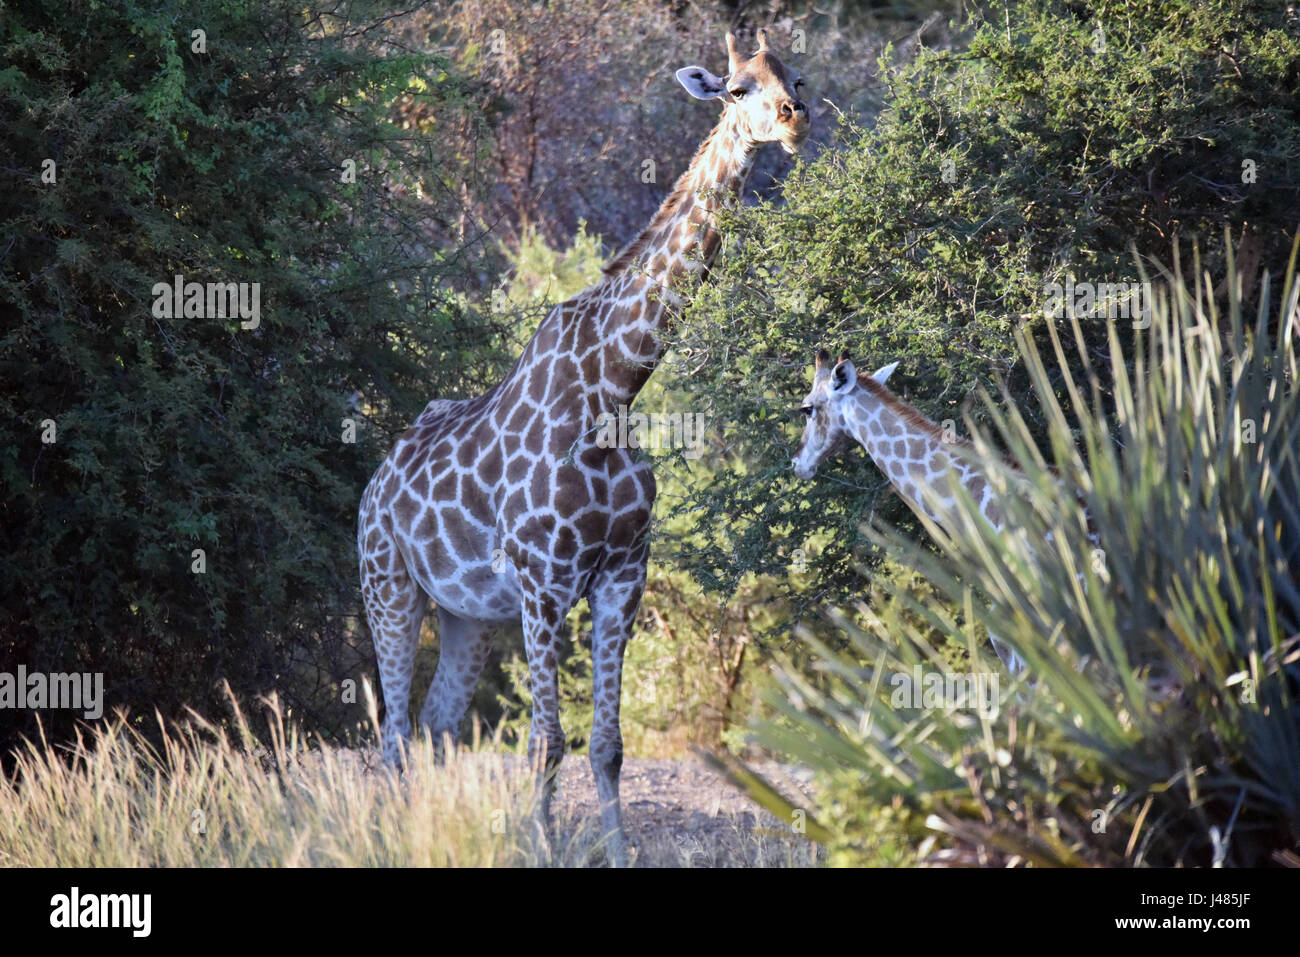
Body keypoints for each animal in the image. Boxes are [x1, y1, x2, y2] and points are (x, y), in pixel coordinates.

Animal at [361, 29, 806, 868]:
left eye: (796, 77)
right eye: (736, 88)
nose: (795, 118)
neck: (616, 385)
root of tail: (372, 484)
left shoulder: (621, 574)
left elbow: (606, 744)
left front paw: (619, 848)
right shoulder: (543, 580)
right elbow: (546, 742)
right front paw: (539, 844)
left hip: (468, 614)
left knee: (435, 727)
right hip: (388, 586)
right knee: (395, 735)